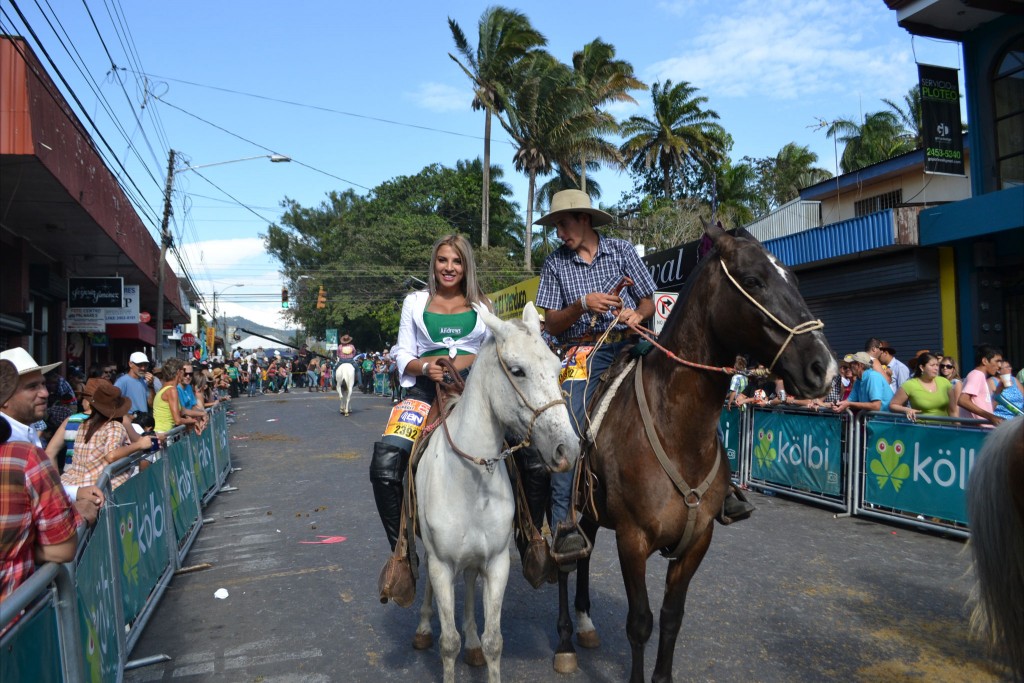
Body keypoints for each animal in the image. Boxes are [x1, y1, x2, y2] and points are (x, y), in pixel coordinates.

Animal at [413, 303, 577, 683]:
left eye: (557, 368)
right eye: (517, 371)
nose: (569, 449)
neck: (470, 479)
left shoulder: (498, 562)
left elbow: (493, 641)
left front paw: (479, 642)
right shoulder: (442, 566)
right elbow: (448, 643)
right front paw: (441, 636)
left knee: (471, 580)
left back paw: (471, 638)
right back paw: (424, 627)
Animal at [557, 225, 835, 683]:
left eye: (794, 278)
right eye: (754, 280)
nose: (824, 369)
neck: (678, 431)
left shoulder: (698, 541)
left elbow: (672, 617)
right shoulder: (632, 540)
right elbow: (640, 622)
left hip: (593, 507)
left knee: (585, 548)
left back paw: (583, 622)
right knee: (561, 554)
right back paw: (564, 638)